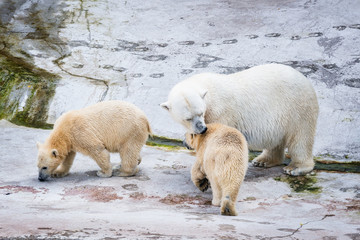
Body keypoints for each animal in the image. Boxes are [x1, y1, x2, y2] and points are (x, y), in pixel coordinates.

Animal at [162, 63, 320, 176]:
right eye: (187, 118)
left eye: (200, 113)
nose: (202, 128)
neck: (208, 90)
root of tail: (305, 80)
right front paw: (187, 140)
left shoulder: (220, 112)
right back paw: (263, 160)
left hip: (298, 108)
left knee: (300, 139)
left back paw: (295, 168)